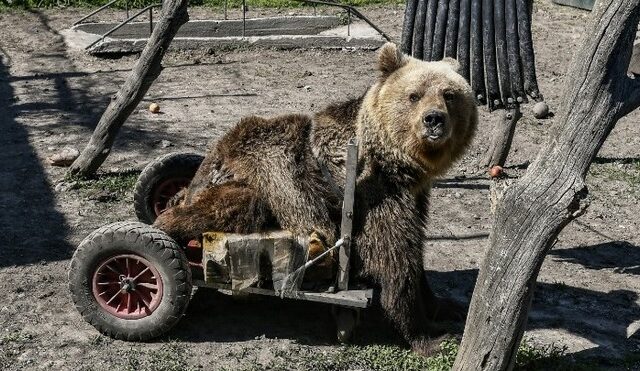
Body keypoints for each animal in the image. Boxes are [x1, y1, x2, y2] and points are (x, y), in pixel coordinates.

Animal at [154, 42, 476, 354]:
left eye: (449, 95)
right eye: (414, 95)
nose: (433, 119)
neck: (399, 163)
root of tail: (208, 164)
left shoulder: (414, 195)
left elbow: (415, 252)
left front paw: (447, 306)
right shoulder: (375, 193)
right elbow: (394, 258)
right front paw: (429, 336)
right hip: (256, 178)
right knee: (228, 208)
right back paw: (165, 227)